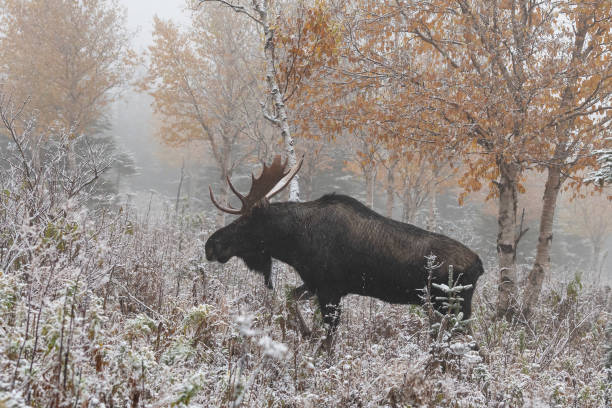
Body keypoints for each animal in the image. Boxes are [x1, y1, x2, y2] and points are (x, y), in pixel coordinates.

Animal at [206, 155, 482, 342]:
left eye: (245, 222)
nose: (211, 245)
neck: (294, 243)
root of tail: (480, 266)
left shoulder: (330, 289)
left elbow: (328, 338)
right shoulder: (315, 284)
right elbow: (289, 299)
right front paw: (305, 330)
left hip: (452, 304)